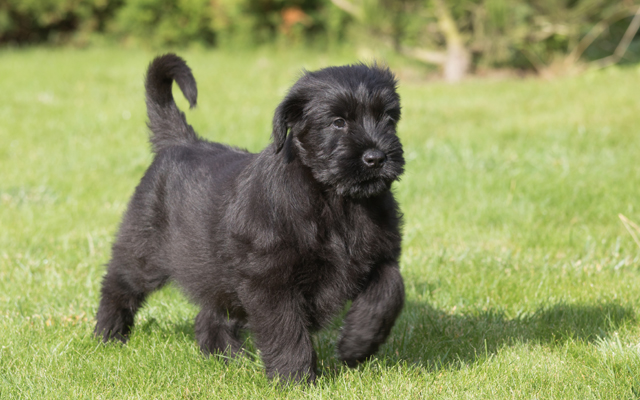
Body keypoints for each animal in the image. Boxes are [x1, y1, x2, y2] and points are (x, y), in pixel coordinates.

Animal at [95, 53, 404, 382]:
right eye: (338, 122)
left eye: (388, 117)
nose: (376, 158)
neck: (337, 201)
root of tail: (179, 141)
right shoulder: (270, 279)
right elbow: (286, 329)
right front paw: (295, 379)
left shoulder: (381, 255)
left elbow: (389, 291)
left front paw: (356, 343)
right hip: (144, 251)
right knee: (118, 284)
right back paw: (108, 335)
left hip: (215, 270)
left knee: (211, 315)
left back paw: (227, 357)